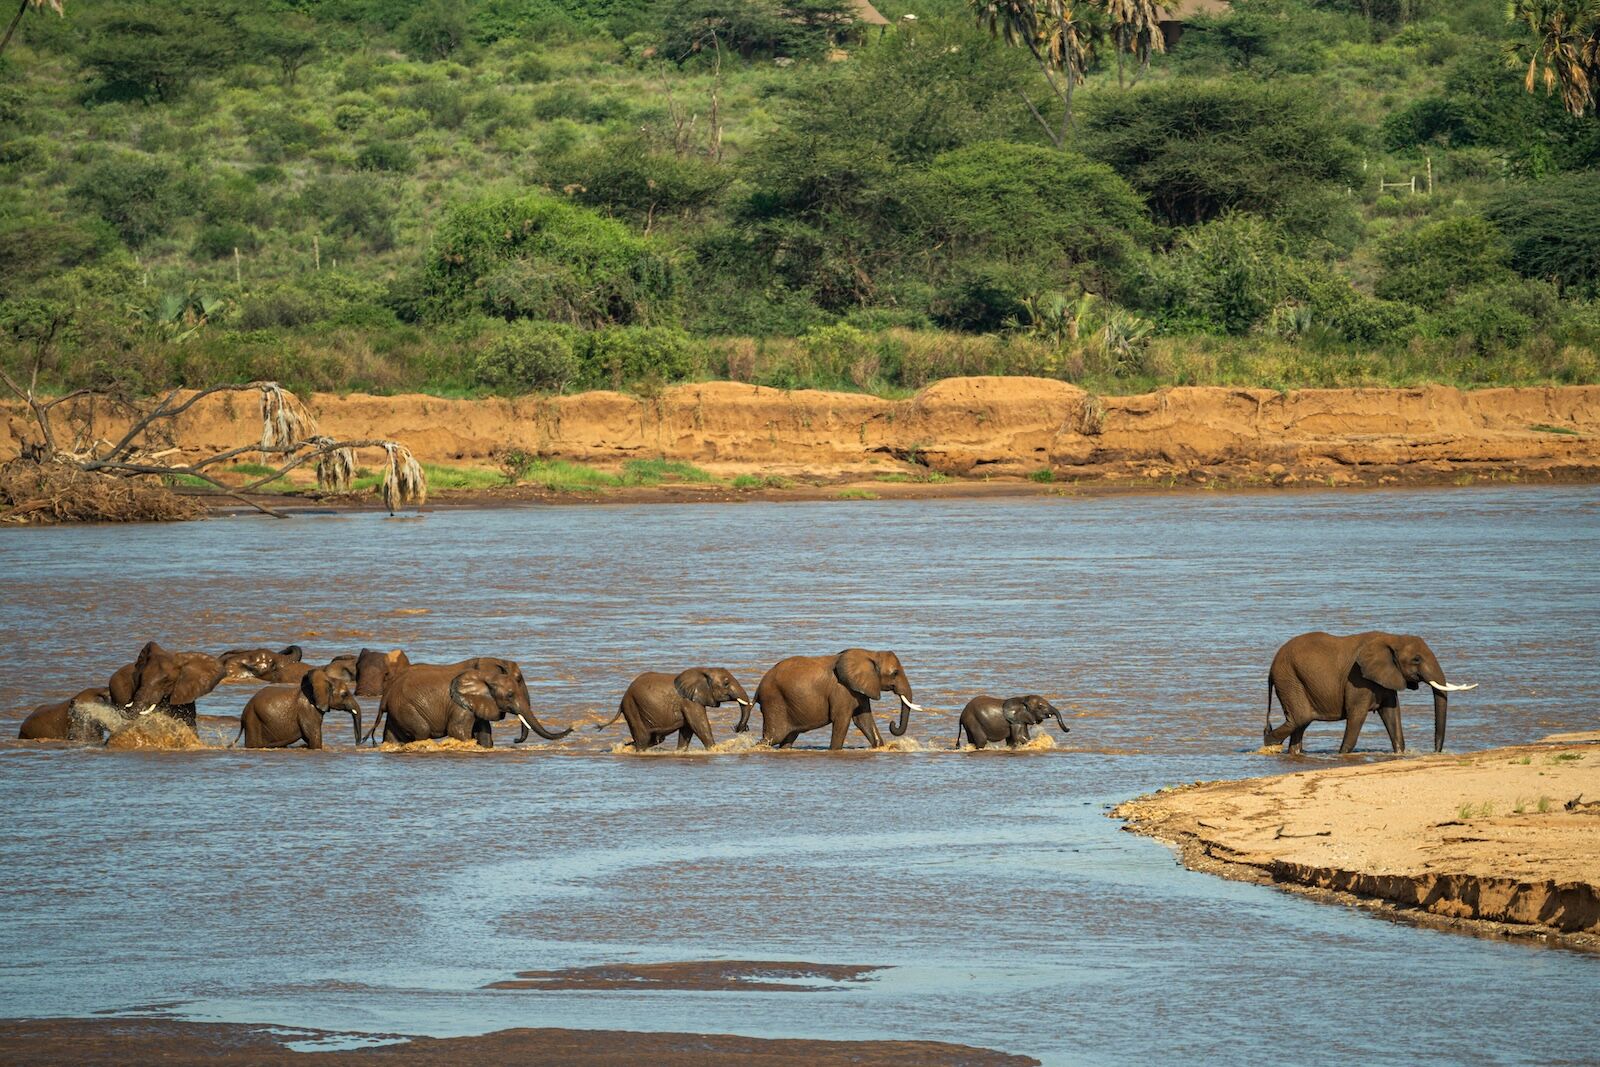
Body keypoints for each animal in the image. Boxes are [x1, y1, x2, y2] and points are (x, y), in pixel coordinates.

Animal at [232, 668, 363, 751]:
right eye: (344, 694)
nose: (357, 744)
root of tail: (243, 714)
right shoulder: (307, 710)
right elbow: (313, 737)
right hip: (253, 721)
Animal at [371, 655, 572, 748]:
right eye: (510, 695)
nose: (515, 740)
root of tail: (385, 697)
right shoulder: (459, 704)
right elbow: (457, 731)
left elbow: (484, 733)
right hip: (406, 707)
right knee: (422, 730)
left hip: (397, 710)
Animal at [598, 668, 752, 751]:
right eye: (726, 684)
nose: (738, 727)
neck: (704, 670)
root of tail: (622, 700)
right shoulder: (689, 702)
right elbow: (699, 725)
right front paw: (715, 750)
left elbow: (687, 729)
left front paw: (680, 752)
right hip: (632, 707)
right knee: (643, 738)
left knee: (653, 739)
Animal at [752, 646, 928, 748]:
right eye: (895, 673)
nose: (892, 724)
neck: (871, 655)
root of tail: (758, 689)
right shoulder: (842, 690)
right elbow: (842, 721)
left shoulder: (858, 689)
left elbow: (863, 720)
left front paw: (879, 746)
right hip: (774, 702)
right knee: (774, 737)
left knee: (787, 738)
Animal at [1260, 630, 1472, 755]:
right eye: (1417, 659)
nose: (1436, 751)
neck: (1392, 638)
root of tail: (1271, 667)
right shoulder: (1358, 678)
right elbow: (1357, 715)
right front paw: (1342, 754)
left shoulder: (1385, 677)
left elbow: (1391, 714)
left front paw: (1399, 753)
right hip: (1289, 679)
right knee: (1300, 718)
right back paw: (1269, 745)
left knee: (1301, 722)